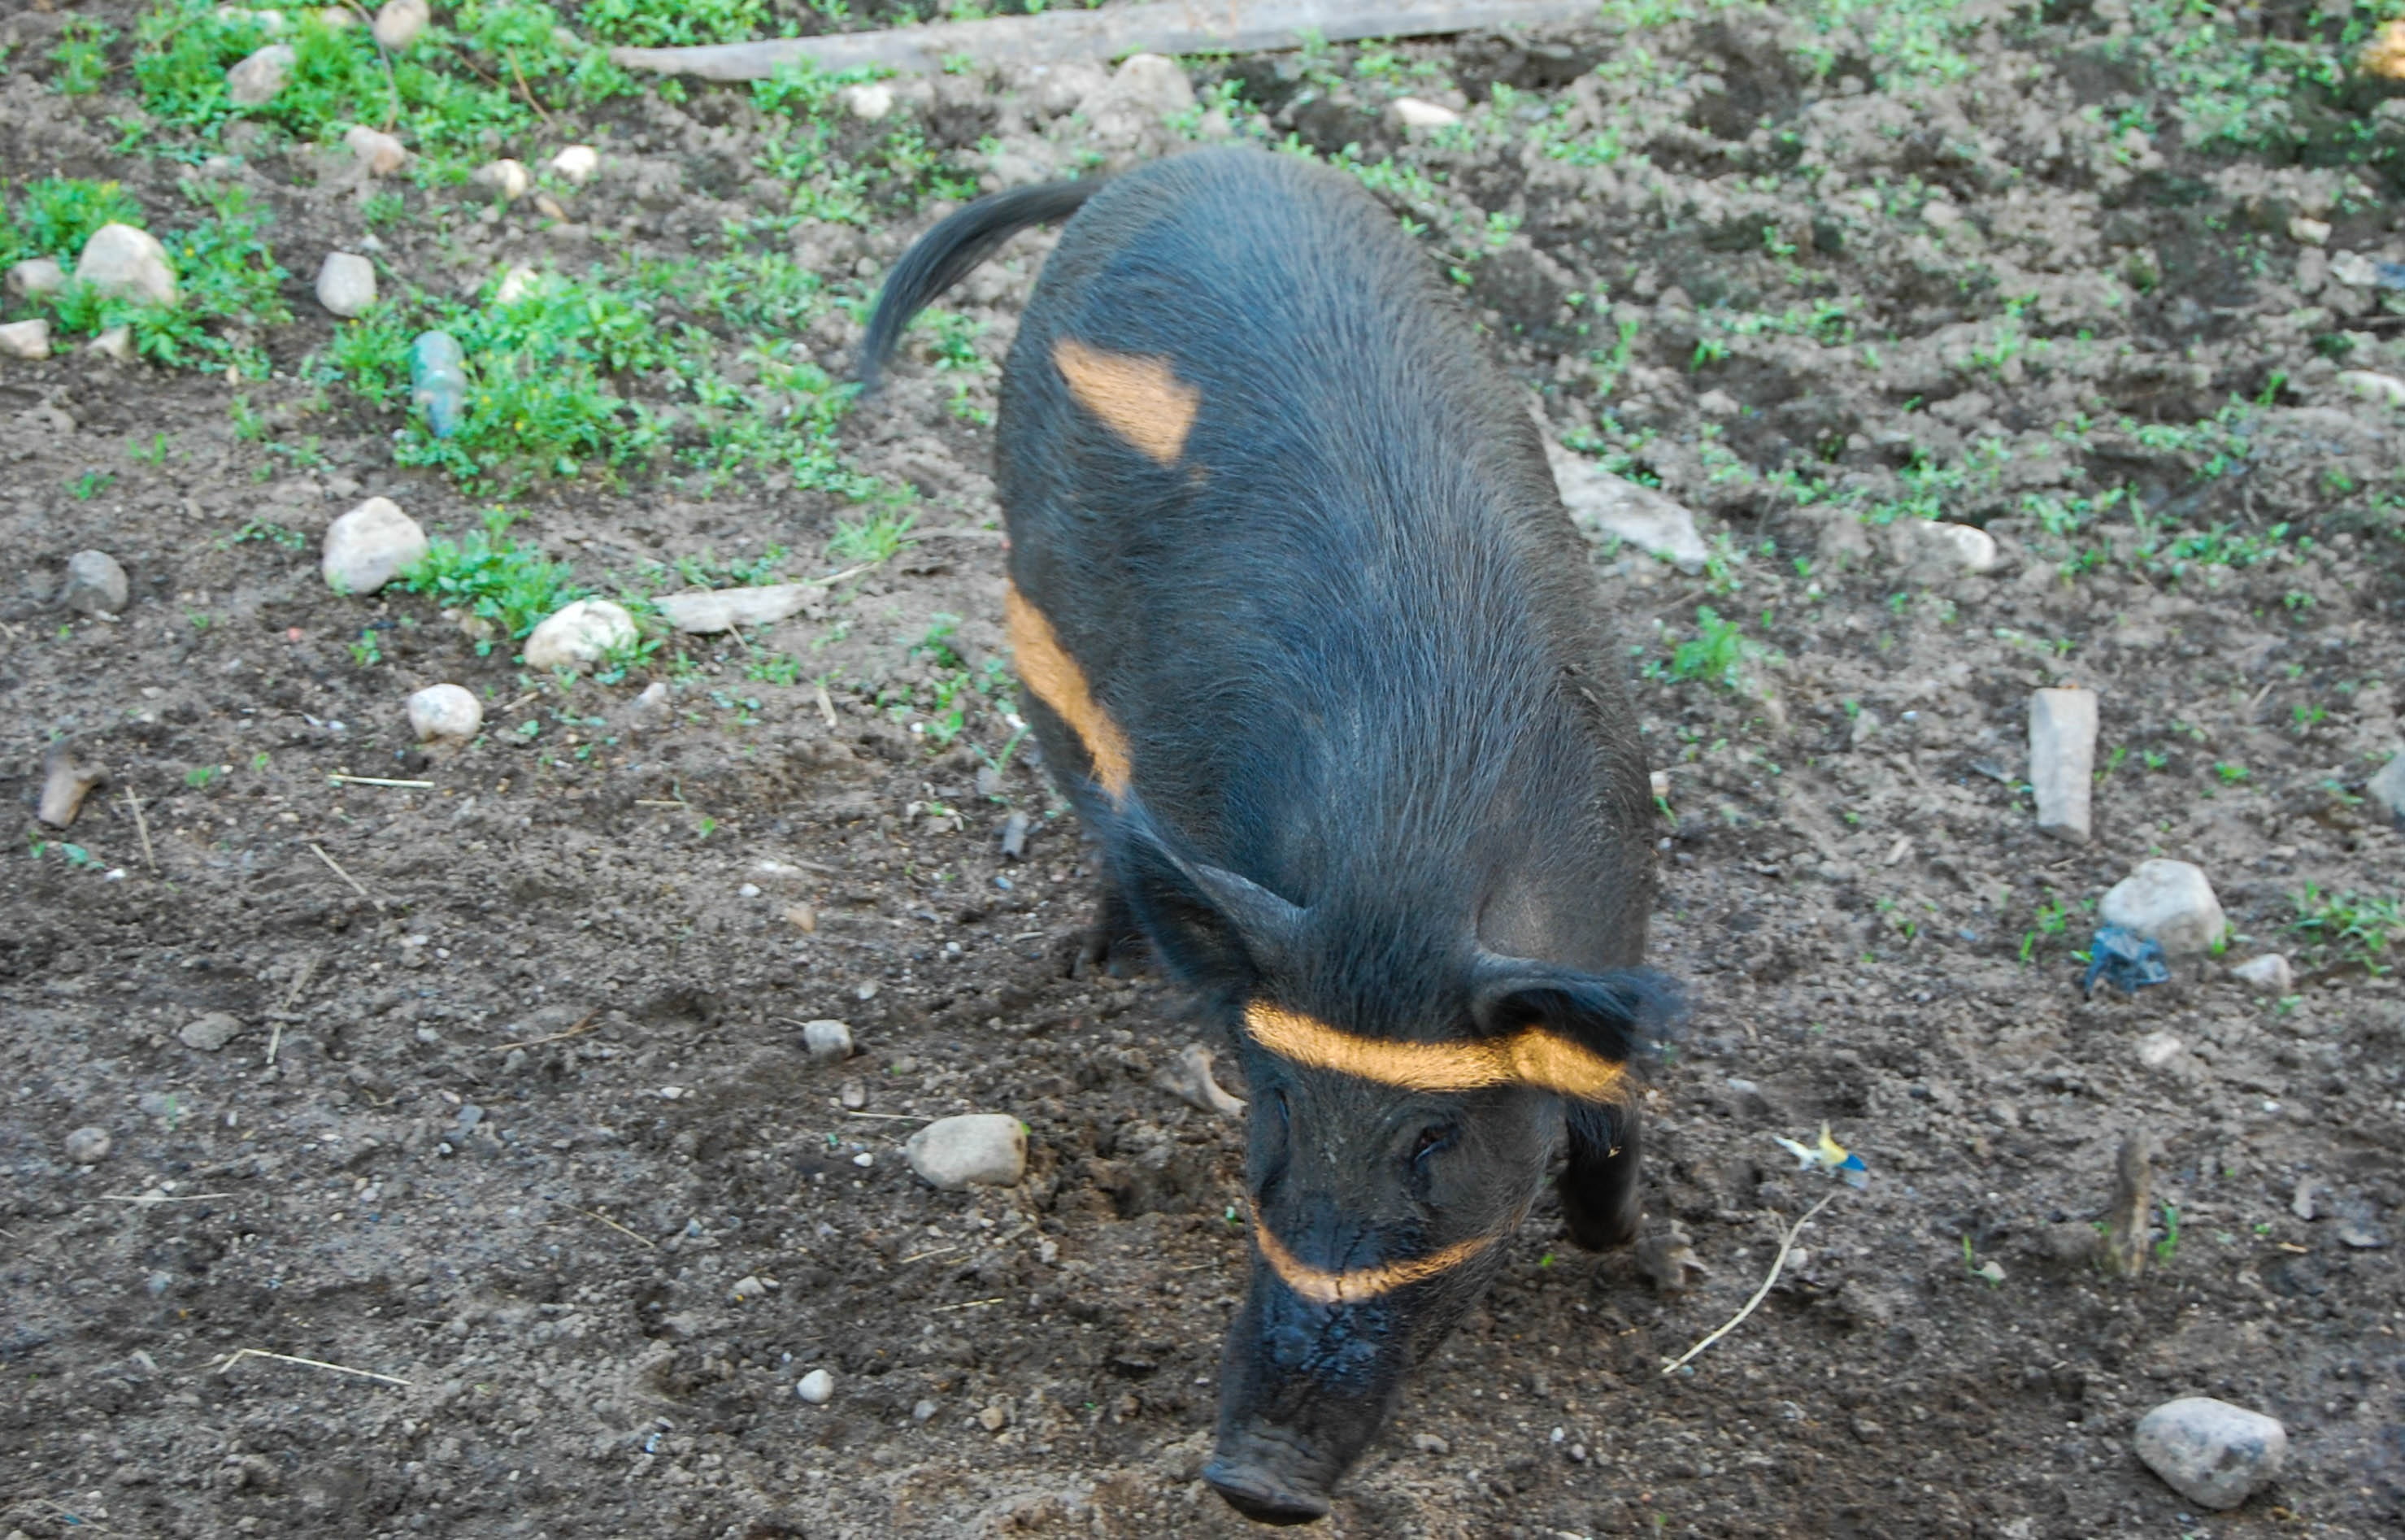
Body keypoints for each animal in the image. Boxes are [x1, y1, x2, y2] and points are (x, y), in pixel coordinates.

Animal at [860, 145, 1673, 1524]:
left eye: (1434, 1137)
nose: (1254, 1480)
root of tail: (1145, 168)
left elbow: (1609, 1108)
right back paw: (1094, 958)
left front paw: (1638, 1253)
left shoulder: (1614, 922)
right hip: (1032, 629)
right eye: (1274, 1099)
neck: (1406, 868)